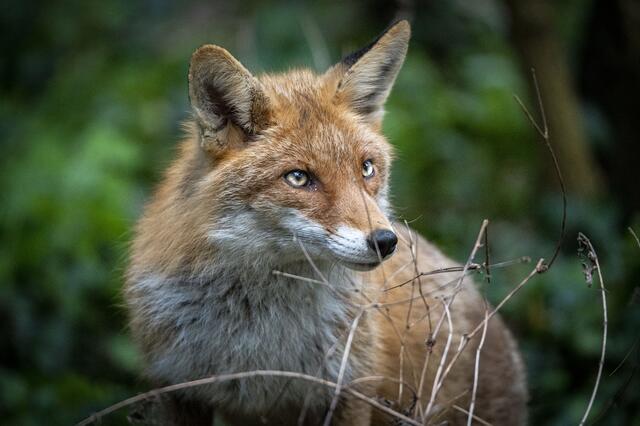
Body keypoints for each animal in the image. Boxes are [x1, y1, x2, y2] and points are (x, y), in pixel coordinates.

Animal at [125, 20, 524, 426]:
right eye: (299, 178)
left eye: (367, 168)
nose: (385, 241)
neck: (260, 335)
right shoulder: (176, 387)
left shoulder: (350, 389)